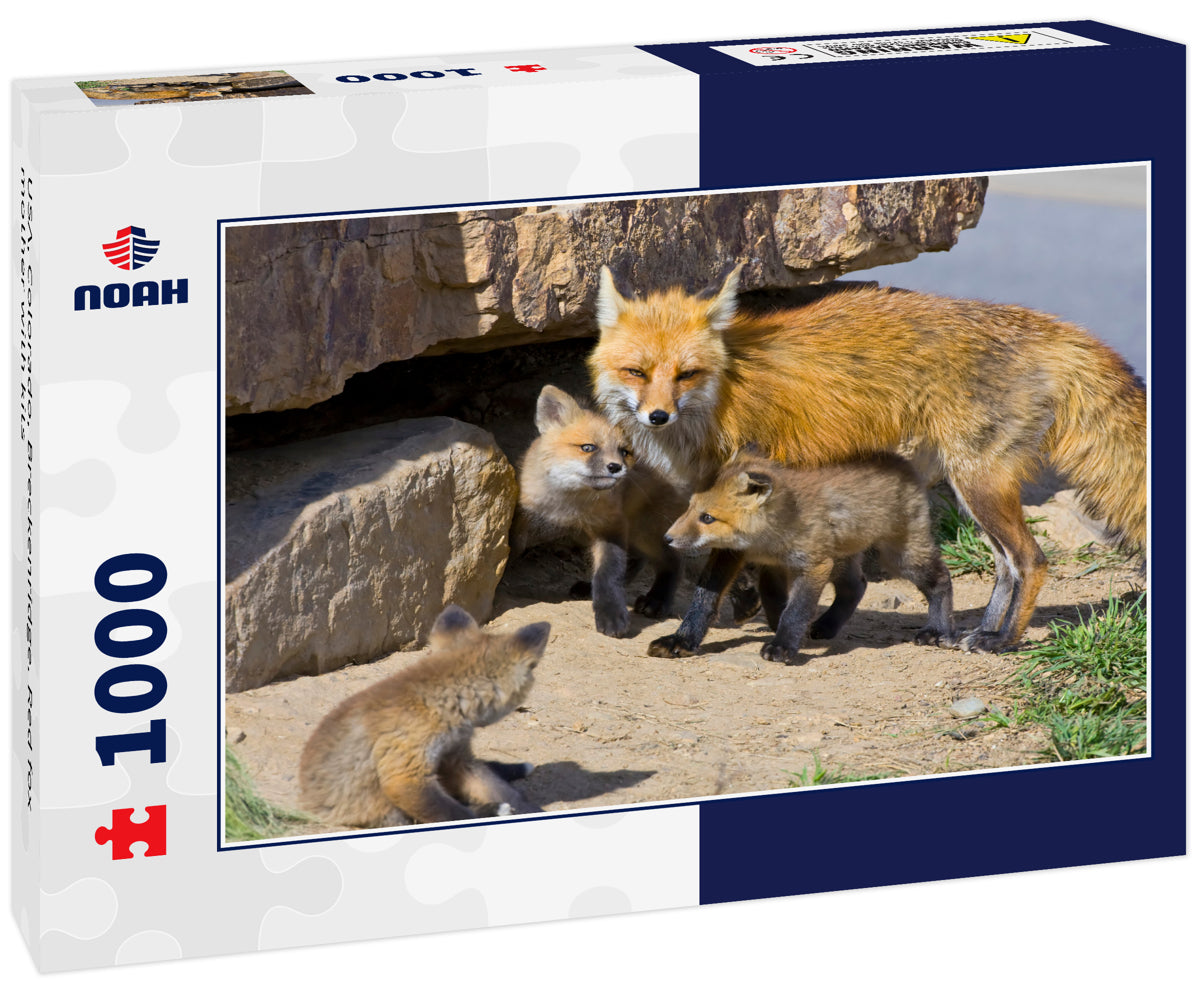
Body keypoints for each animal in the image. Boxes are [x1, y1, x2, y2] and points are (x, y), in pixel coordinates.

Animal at [298, 605, 549, 828]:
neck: (437, 706)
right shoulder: (405, 774)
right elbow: (456, 814)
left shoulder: (457, 758)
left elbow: (501, 791)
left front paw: (529, 810)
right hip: (388, 811)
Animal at [513, 384, 686, 637]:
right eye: (588, 448)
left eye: (624, 452)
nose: (616, 467)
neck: (569, 506)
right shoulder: (526, 512)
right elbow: (512, 545)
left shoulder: (611, 525)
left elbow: (608, 573)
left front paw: (611, 614)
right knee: (637, 561)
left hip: (645, 532)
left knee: (672, 561)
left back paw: (657, 600)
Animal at [658, 451, 954, 663]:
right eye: (689, 508)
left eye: (707, 518)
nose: (667, 539)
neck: (764, 542)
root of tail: (900, 461)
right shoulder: (740, 556)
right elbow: (706, 600)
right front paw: (682, 640)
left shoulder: (814, 565)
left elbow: (795, 610)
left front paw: (783, 645)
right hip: (842, 558)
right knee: (856, 585)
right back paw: (827, 626)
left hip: (899, 557)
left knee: (942, 578)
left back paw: (938, 630)